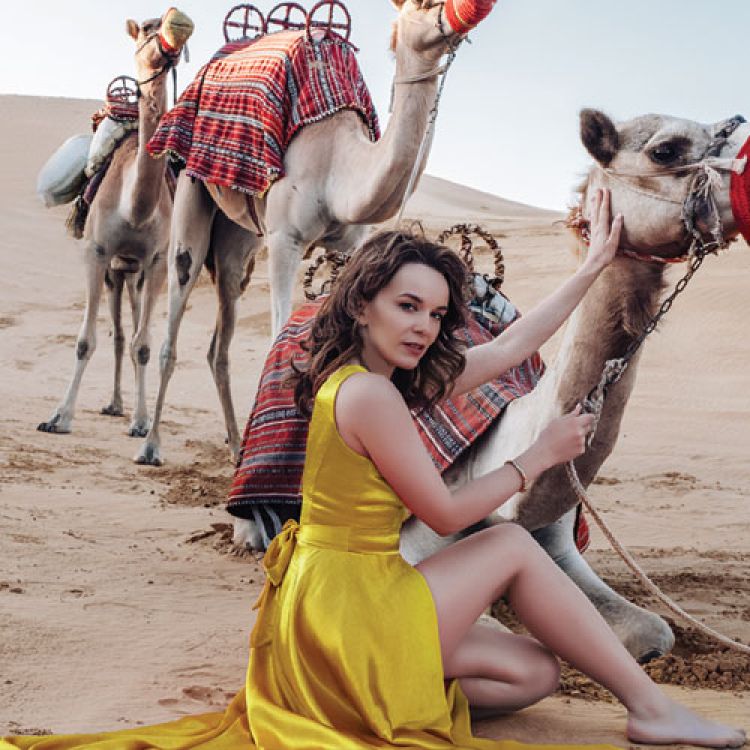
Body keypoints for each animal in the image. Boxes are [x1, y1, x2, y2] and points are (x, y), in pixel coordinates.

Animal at [37, 8, 194, 438]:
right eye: (146, 29)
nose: (177, 27)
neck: (133, 208)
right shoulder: (97, 252)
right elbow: (84, 340)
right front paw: (59, 417)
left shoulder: (155, 263)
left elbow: (143, 344)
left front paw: (142, 423)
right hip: (114, 272)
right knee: (118, 334)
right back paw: (113, 403)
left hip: (133, 272)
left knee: (131, 335)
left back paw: (125, 407)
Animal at [135, 1, 496, 470]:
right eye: (422, 5)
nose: (477, 9)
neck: (338, 165)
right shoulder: (285, 239)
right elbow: (278, 342)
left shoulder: (352, 245)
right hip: (193, 187)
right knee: (177, 298)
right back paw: (151, 444)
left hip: (240, 237)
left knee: (221, 333)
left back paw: (235, 446)